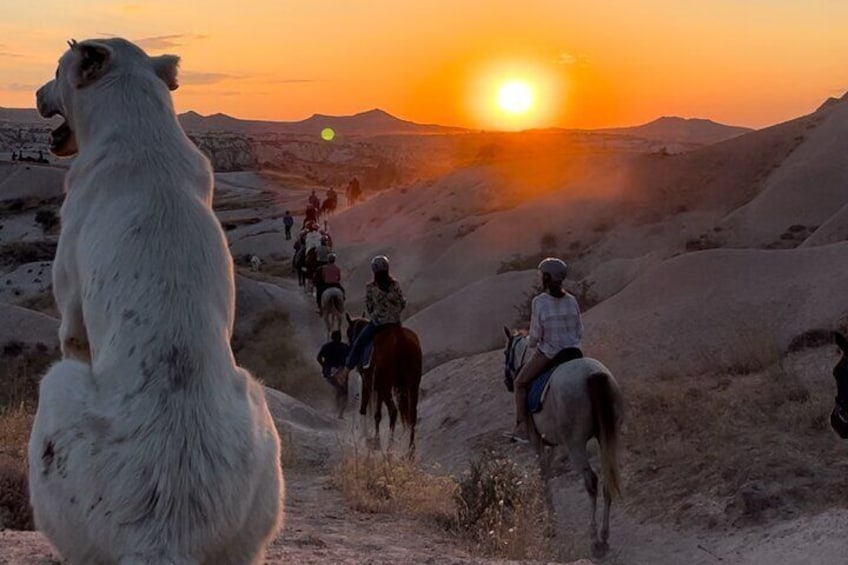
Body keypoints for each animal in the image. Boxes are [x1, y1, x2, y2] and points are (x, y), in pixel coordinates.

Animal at [29, 37, 284, 560]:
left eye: (57, 70)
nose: (34, 94)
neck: (138, 129)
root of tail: (163, 534)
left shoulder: (72, 319)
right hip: (259, 416)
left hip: (56, 388)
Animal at [346, 312, 422, 454]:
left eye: (348, 332)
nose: (351, 345)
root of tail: (402, 340)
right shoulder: (379, 387)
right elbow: (377, 414)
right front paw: (375, 440)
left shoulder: (368, 383)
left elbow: (364, 408)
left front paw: (365, 438)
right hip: (412, 385)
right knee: (412, 415)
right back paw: (410, 451)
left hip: (387, 387)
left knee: (393, 411)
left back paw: (389, 447)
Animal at [504, 326, 624, 556]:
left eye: (506, 353)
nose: (507, 382)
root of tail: (592, 374)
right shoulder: (554, 443)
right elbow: (547, 471)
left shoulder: (537, 441)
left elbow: (543, 475)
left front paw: (550, 523)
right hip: (608, 437)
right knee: (607, 478)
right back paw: (604, 536)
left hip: (575, 444)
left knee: (591, 481)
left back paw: (594, 538)